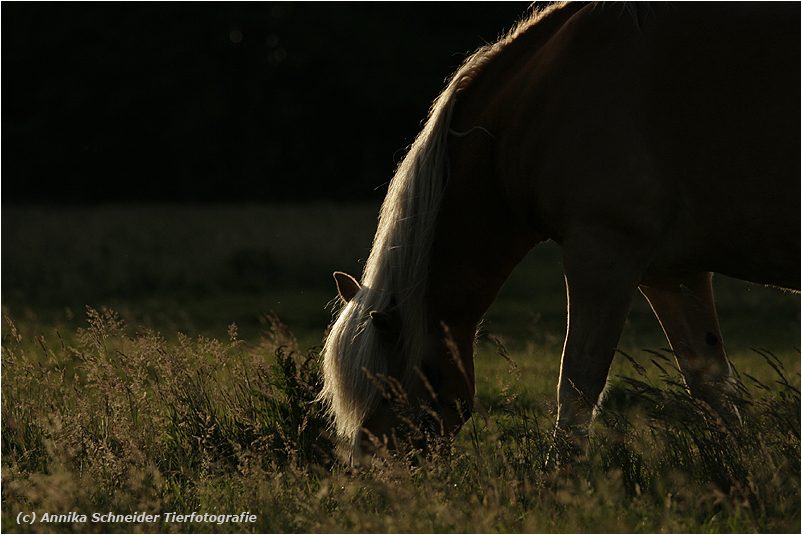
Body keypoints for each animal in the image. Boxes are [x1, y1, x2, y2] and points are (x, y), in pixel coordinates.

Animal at [316, 1, 796, 464]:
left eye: (389, 388)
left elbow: (579, 381)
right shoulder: (674, 277)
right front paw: (746, 471)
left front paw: (560, 475)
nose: (371, 469)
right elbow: (710, 385)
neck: (541, 101)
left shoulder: (603, 253)